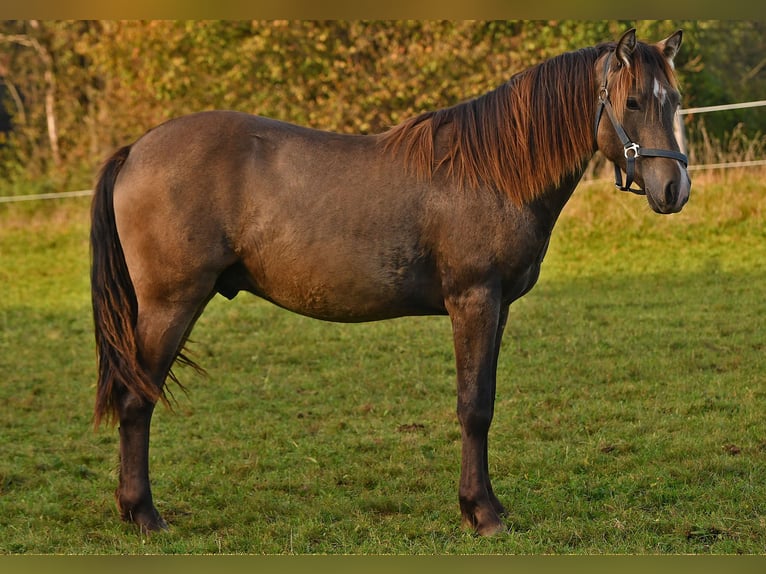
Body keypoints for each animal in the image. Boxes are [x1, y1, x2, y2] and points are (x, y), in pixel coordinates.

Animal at [91, 29, 696, 536]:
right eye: (633, 102)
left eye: (674, 100)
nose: (674, 189)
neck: (491, 171)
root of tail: (135, 150)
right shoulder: (474, 300)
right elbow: (474, 407)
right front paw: (480, 513)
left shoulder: (498, 307)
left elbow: (486, 399)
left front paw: (490, 506)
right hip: (170, 305)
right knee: (136, 401)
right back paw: (144, 515)